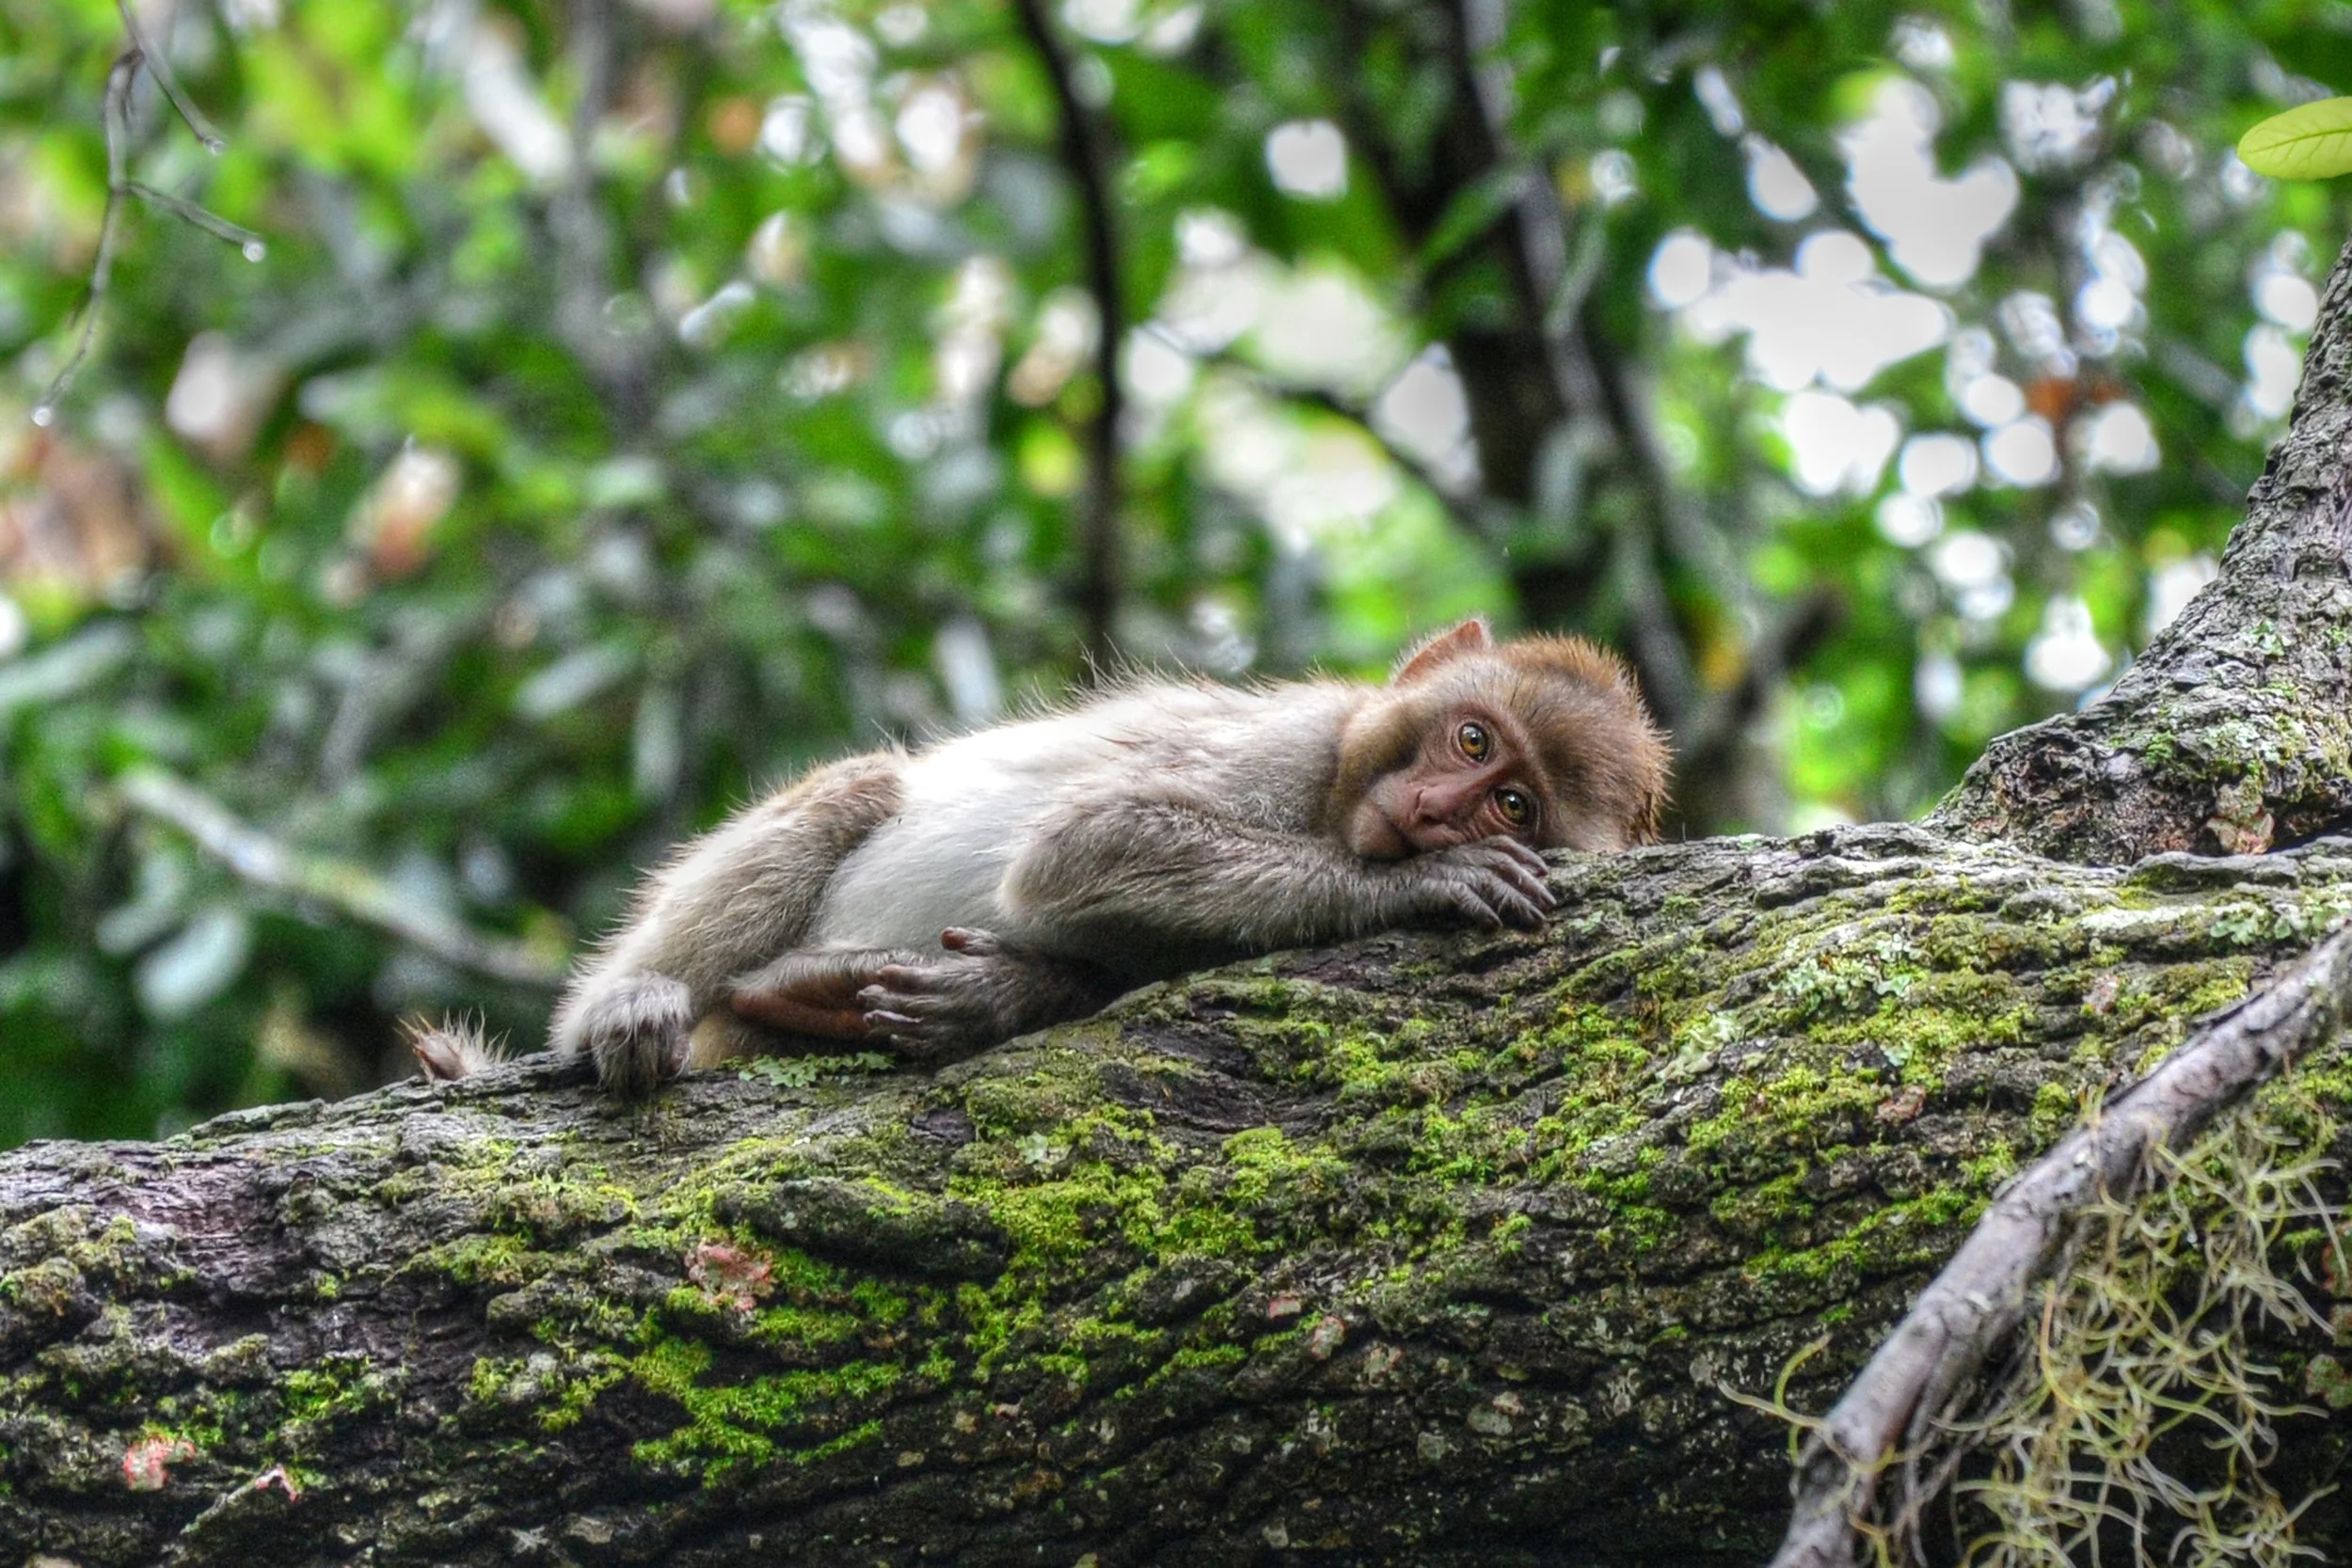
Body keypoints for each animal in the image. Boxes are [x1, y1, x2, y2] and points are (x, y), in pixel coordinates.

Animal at [527, 617, 1667, 1096]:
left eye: (1513, 804)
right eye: (1471, 740)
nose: (1433, 814)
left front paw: (1000, 995)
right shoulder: (1296, 746)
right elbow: (1080, 848)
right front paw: (1423, 880)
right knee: (861, 785)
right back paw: (628, 1007)